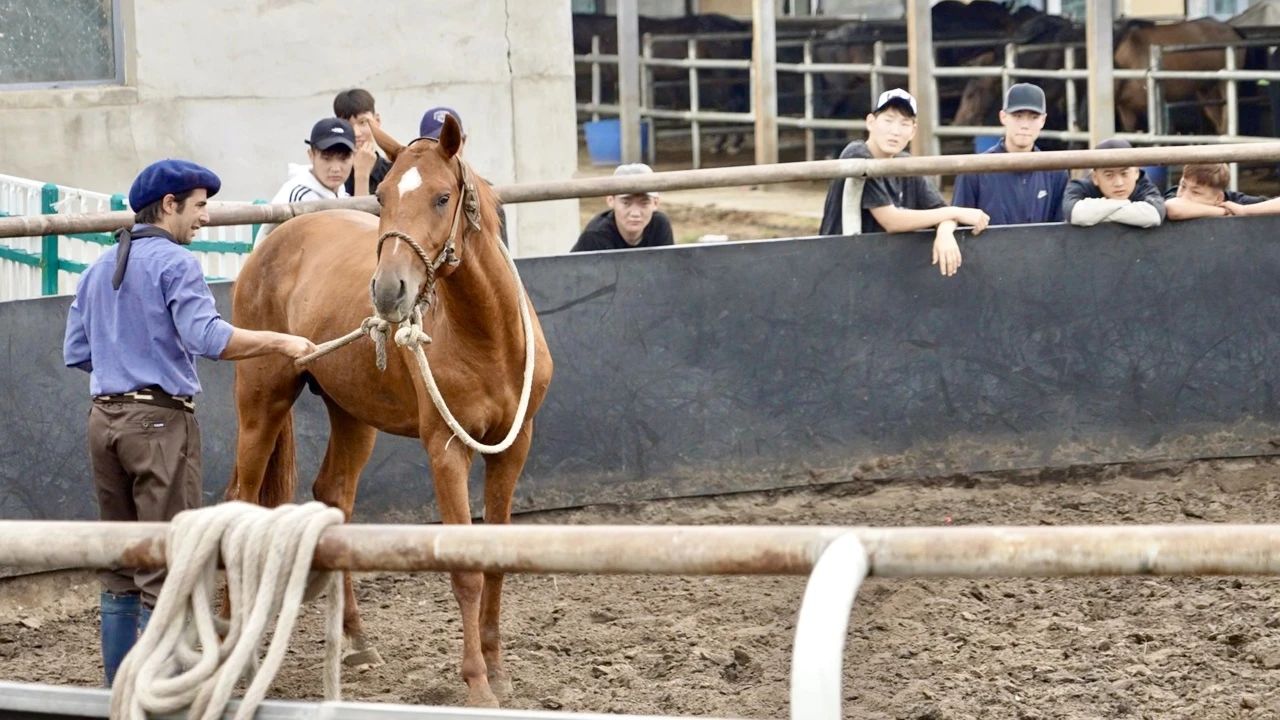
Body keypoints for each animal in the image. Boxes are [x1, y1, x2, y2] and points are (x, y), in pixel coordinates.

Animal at [225, 114, 554, 708]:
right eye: (380, 195)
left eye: (443, 197)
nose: (386, 290)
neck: (489, 337)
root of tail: (274, 240)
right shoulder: (446, 451)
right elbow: (465, 571)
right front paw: (477, 683)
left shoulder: (514, 446)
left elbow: (495, 557)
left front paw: (498, 671)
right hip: (262, 402)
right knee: (239, 496)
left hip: (353, 416)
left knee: (334, 496)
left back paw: (358, 641)